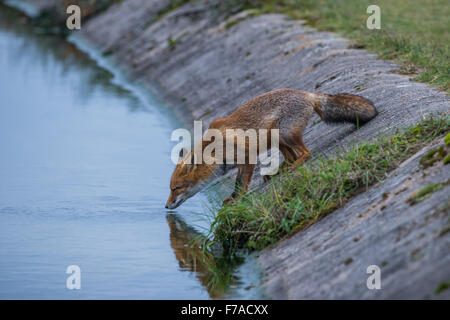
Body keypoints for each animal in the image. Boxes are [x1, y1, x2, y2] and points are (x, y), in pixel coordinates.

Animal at [165, 87, 376, 209]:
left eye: (175, 189)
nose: (166, 206)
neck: (216, 150)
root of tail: (306, 93)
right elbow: (238, 183)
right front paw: (233, 198)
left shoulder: (247, 157)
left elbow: (240, 183)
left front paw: (237, 199)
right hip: (277, 138)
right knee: (291, 156)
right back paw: (277, 171)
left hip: (284, 133)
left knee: (305, 153)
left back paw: (292, 167)